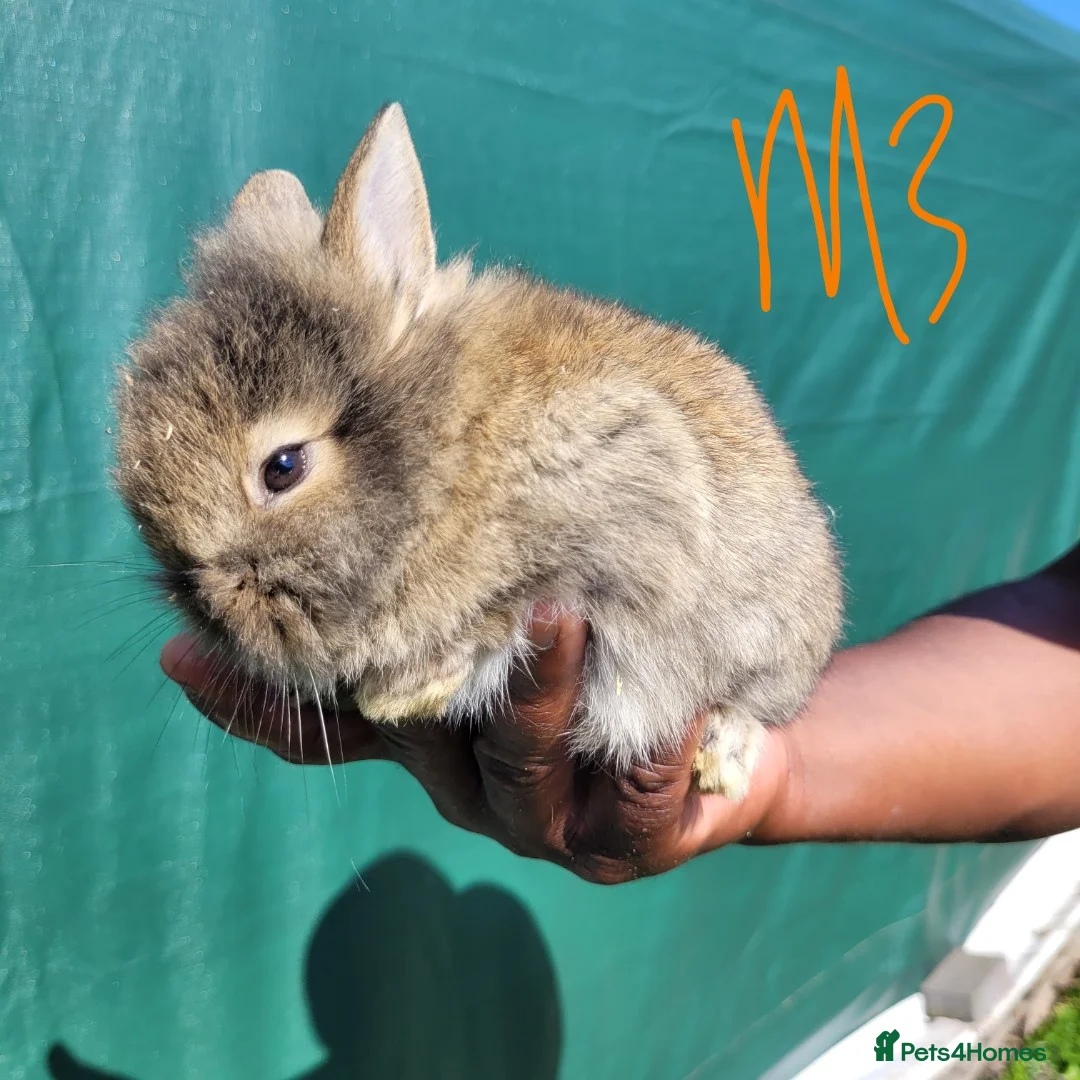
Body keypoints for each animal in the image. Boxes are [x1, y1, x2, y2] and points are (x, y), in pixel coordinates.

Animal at [113, 102, 843, 802]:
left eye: (282, 468)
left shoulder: (629, 486)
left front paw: (405, 692)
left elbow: (510, 606)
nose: (209, 609)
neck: (448, 443)